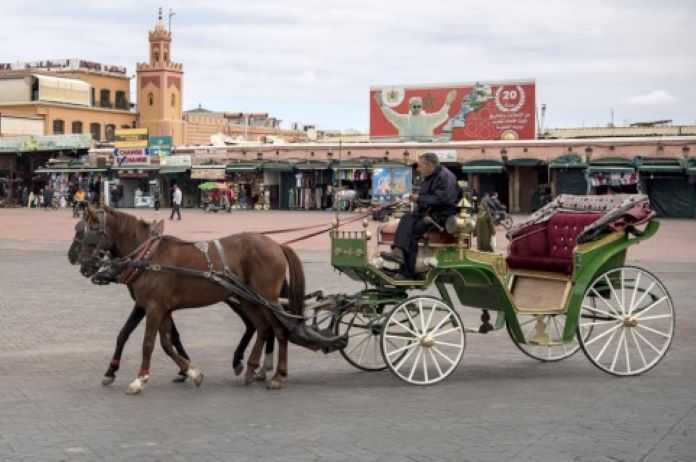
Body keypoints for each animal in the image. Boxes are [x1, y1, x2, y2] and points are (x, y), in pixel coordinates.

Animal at [77, 208, 302, 394]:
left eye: (92, 230)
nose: (84, 265)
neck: (149, 257)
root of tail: (276, 245)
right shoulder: (158, 307)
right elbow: (165, 343)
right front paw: (192, 372)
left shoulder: (154, 307)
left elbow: (148, 343)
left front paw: (140, 379)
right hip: (249, 300)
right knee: (263, 328)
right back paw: (252, 369)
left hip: (267, 299)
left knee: (279, 331)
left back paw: (277, 375)